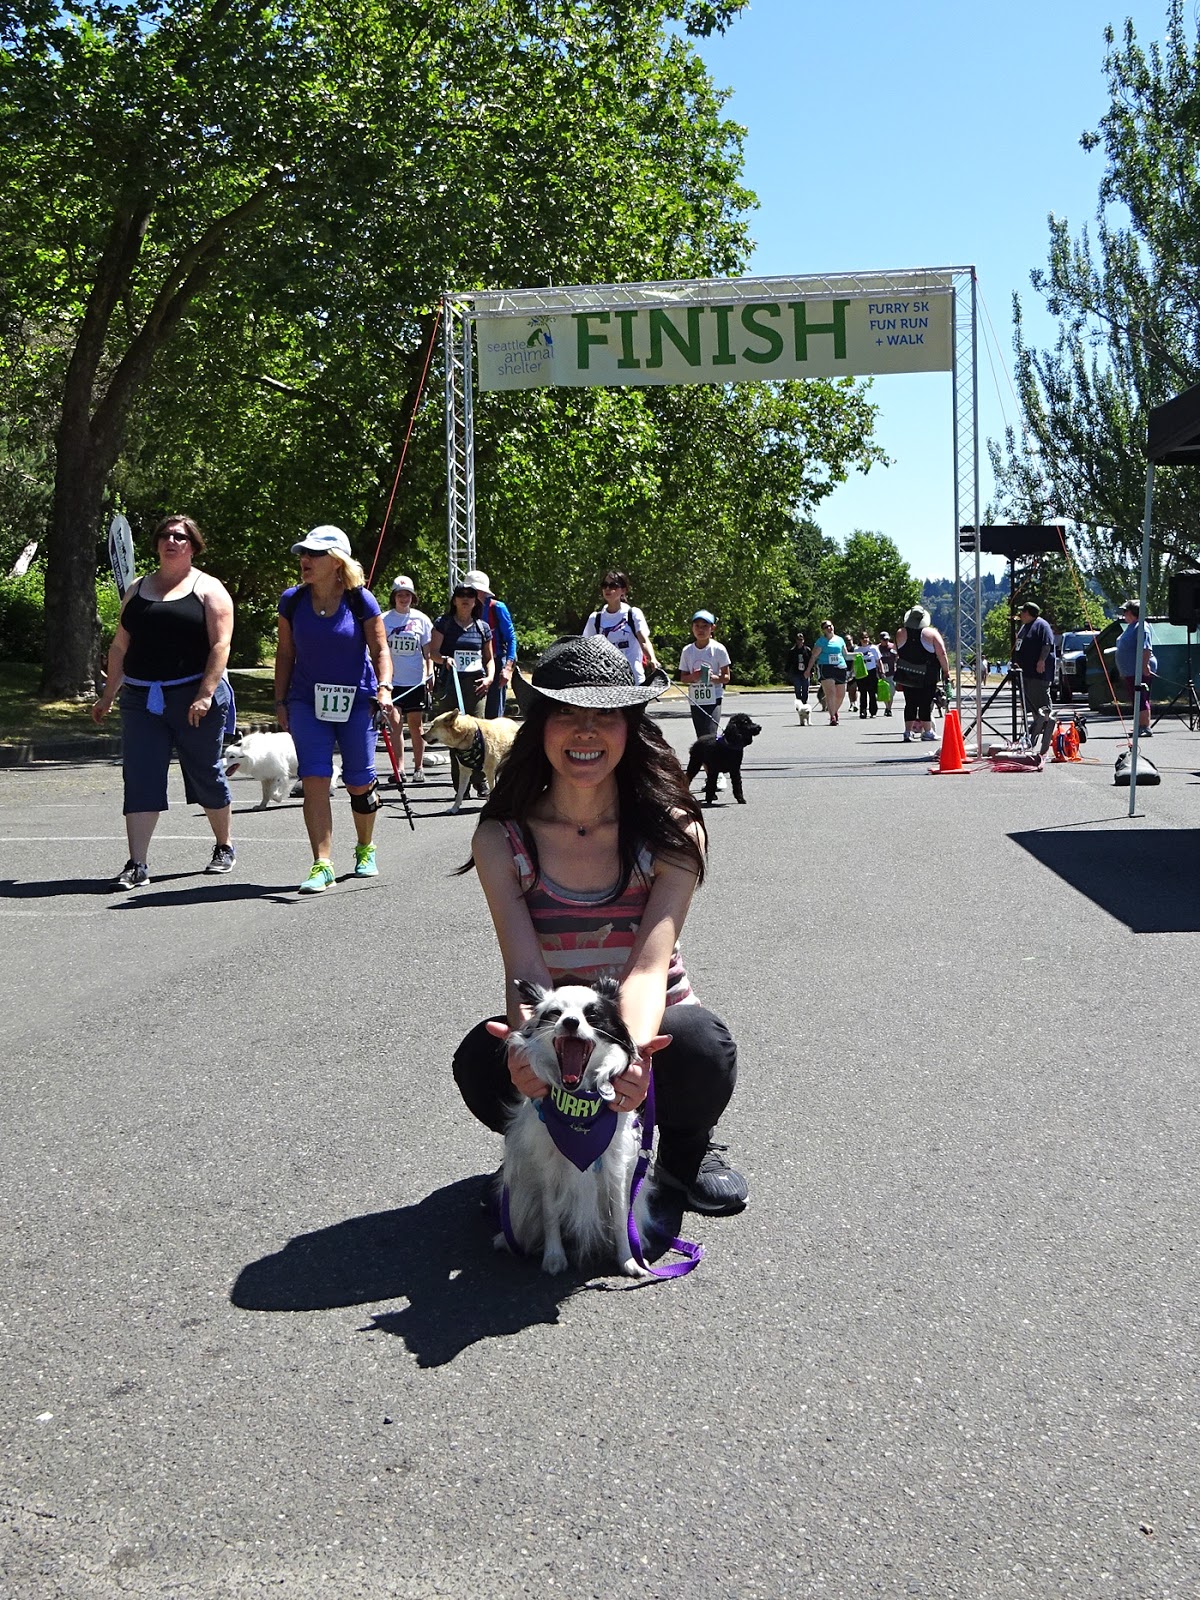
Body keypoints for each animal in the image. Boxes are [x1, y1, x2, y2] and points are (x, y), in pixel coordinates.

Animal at [496, 972, 649, 1273]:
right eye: (555, 1013)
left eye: (592, 1015)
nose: (570, 1022)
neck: (579, 1101)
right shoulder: (547, 1165)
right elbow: (550, 1212)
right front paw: (554, 1256)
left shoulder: (616, 1164)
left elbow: (620, 1215)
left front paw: (627, 1259)